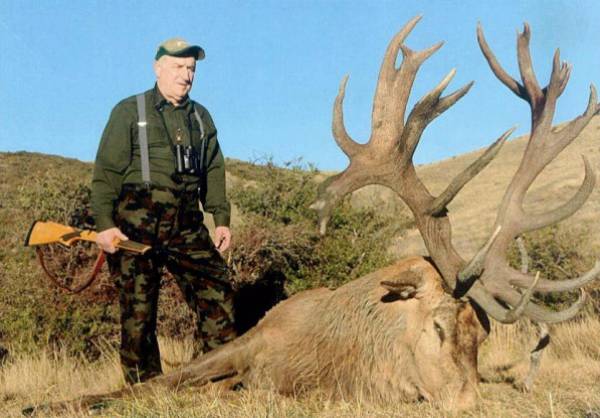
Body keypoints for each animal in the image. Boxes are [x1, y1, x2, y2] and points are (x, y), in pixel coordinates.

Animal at [25, 16, 600, 415]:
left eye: (481, 336)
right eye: (437, 326)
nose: (467, 403)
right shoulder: (254, 340)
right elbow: (158, 382)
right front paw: (50, 402)